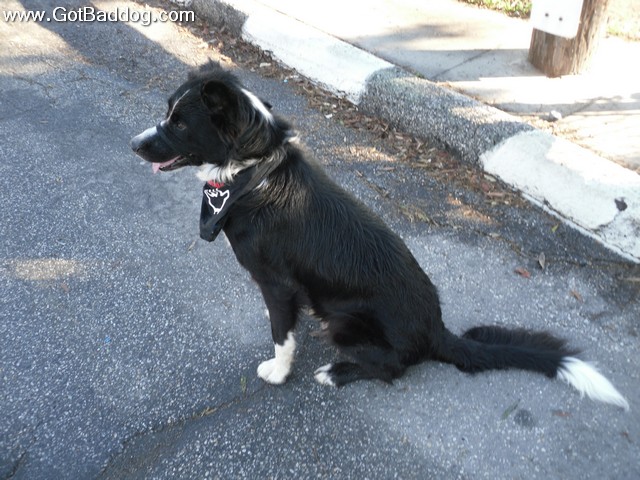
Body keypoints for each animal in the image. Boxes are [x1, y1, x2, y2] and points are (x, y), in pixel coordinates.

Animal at [131, 63, 628, 409]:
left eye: (179, 123)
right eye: (167, 114)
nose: (134, 145)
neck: (253, 174)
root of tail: (436, 331)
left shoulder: (276, 283)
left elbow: (282, 335)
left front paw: (278, 370)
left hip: (347, 322)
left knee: (391, 369)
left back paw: (337, 373)